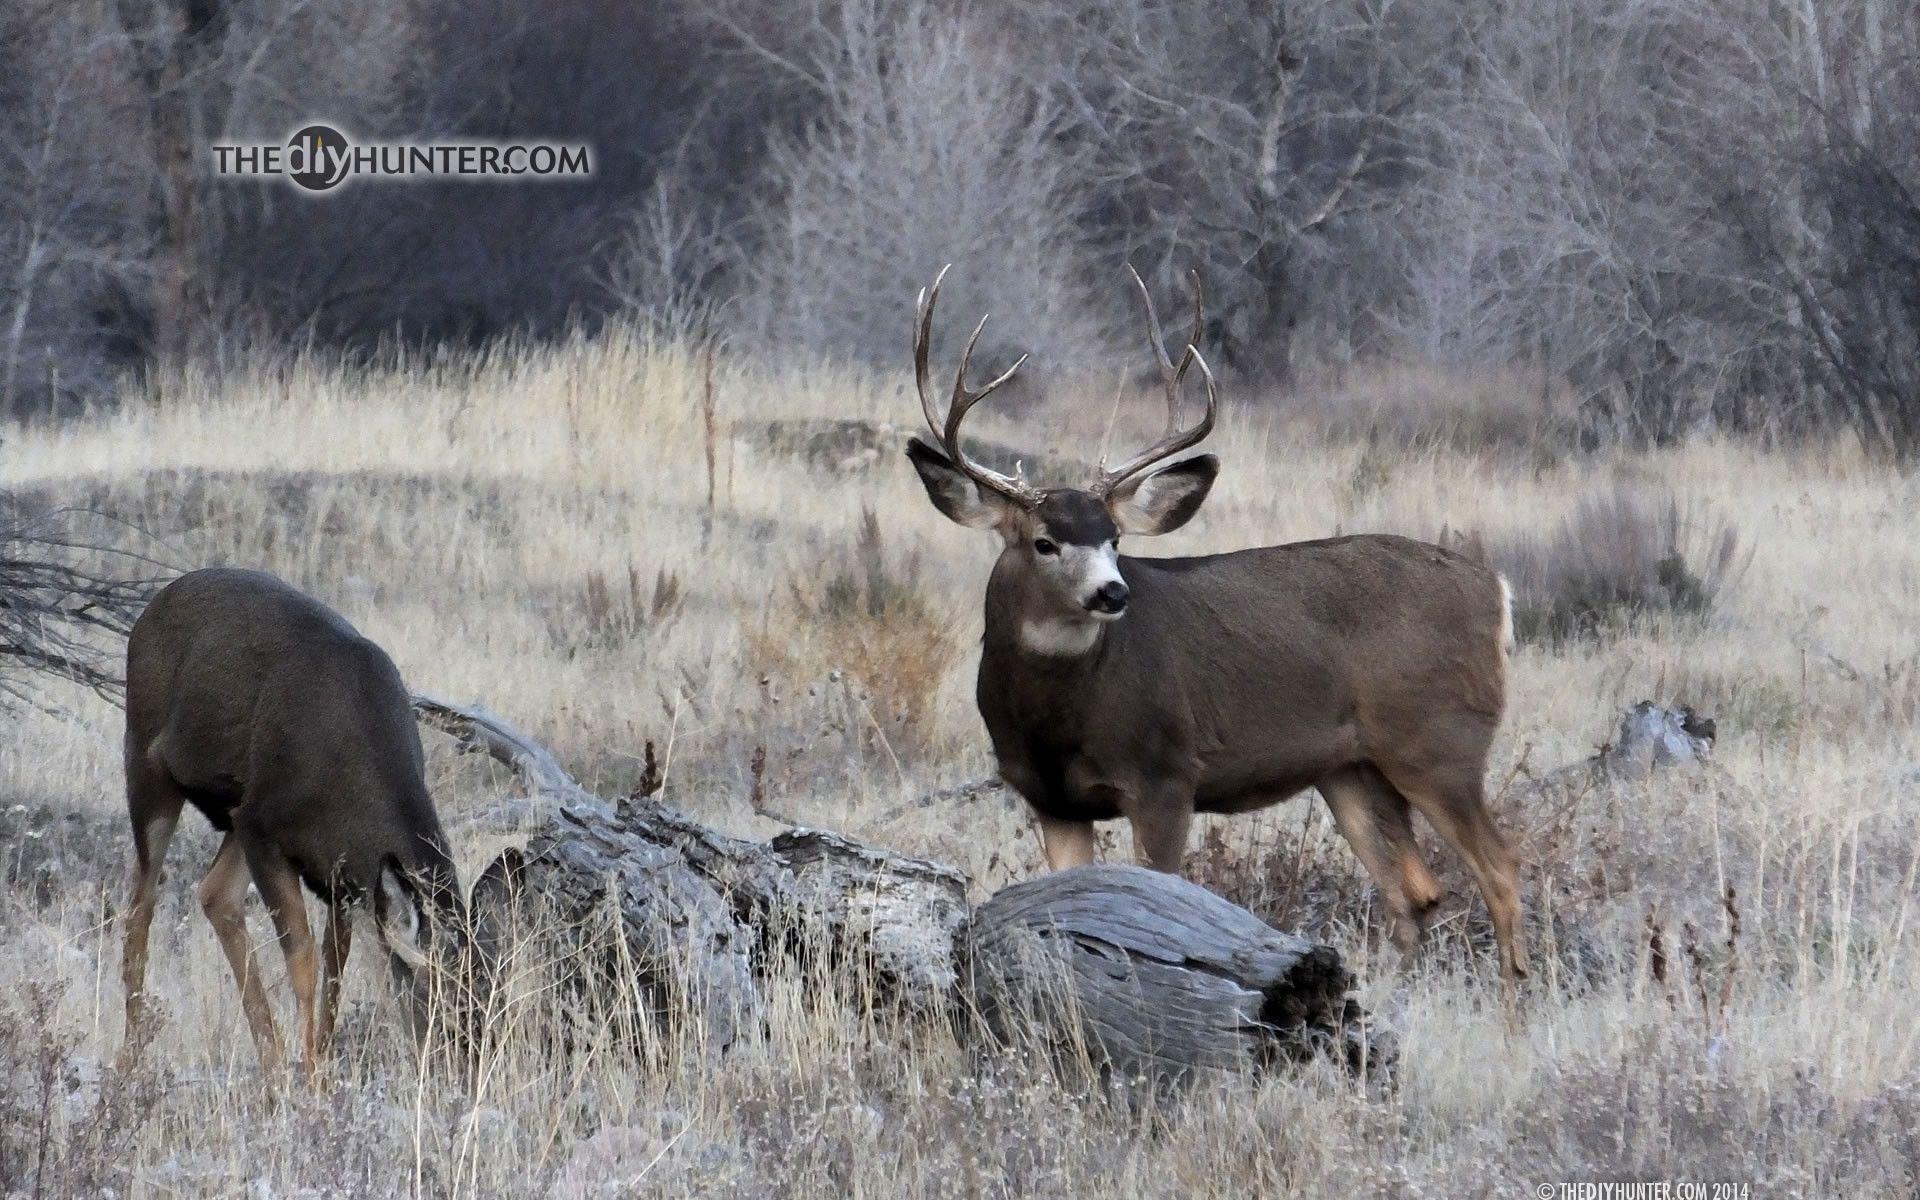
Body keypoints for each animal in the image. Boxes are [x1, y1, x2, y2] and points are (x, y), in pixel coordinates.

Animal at [118, 567, 491, 1077]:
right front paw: (311, 1077)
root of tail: (153, 605)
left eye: (488, 1000)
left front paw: (321, 1070)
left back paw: (270, 1062)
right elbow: (304, 959)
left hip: (235, 813)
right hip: (149, 764)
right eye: (441, 1003)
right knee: (142, 903)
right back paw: (133, 1053)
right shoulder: (262, 829)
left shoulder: (344, 873)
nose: (463, 1072)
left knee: (215, 894)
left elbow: (337, 966)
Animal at [904, 266, 1529, 984]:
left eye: (1115, 537)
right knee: (1415, 891)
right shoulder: (1050, 800)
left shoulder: (1166, 775)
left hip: (1439, 739)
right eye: (1044, 542)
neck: (1059, 720)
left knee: (1501, 872)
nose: (1113, 592)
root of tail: (1495, 590)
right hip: (1351, 767)